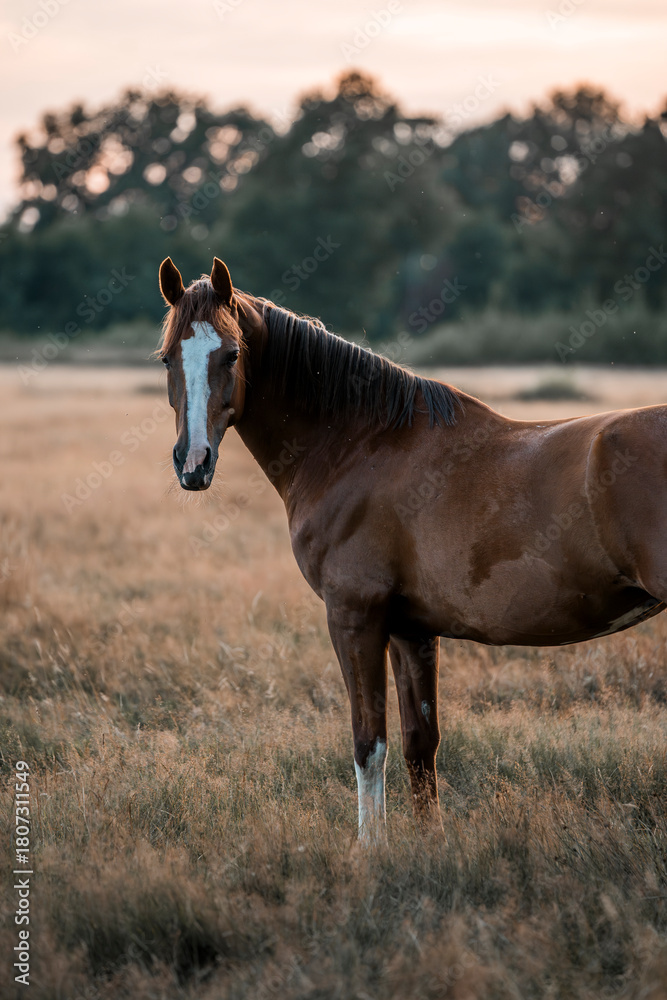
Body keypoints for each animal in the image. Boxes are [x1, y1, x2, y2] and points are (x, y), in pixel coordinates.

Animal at [158, 255, 667, 844]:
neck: (359, 444)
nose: (194, 463)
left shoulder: (355, 618)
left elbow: (368, 742)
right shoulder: (411, 630)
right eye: (168, 358)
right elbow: (419, 743)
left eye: (232, 354)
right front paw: (427, 844)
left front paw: (370, 848)